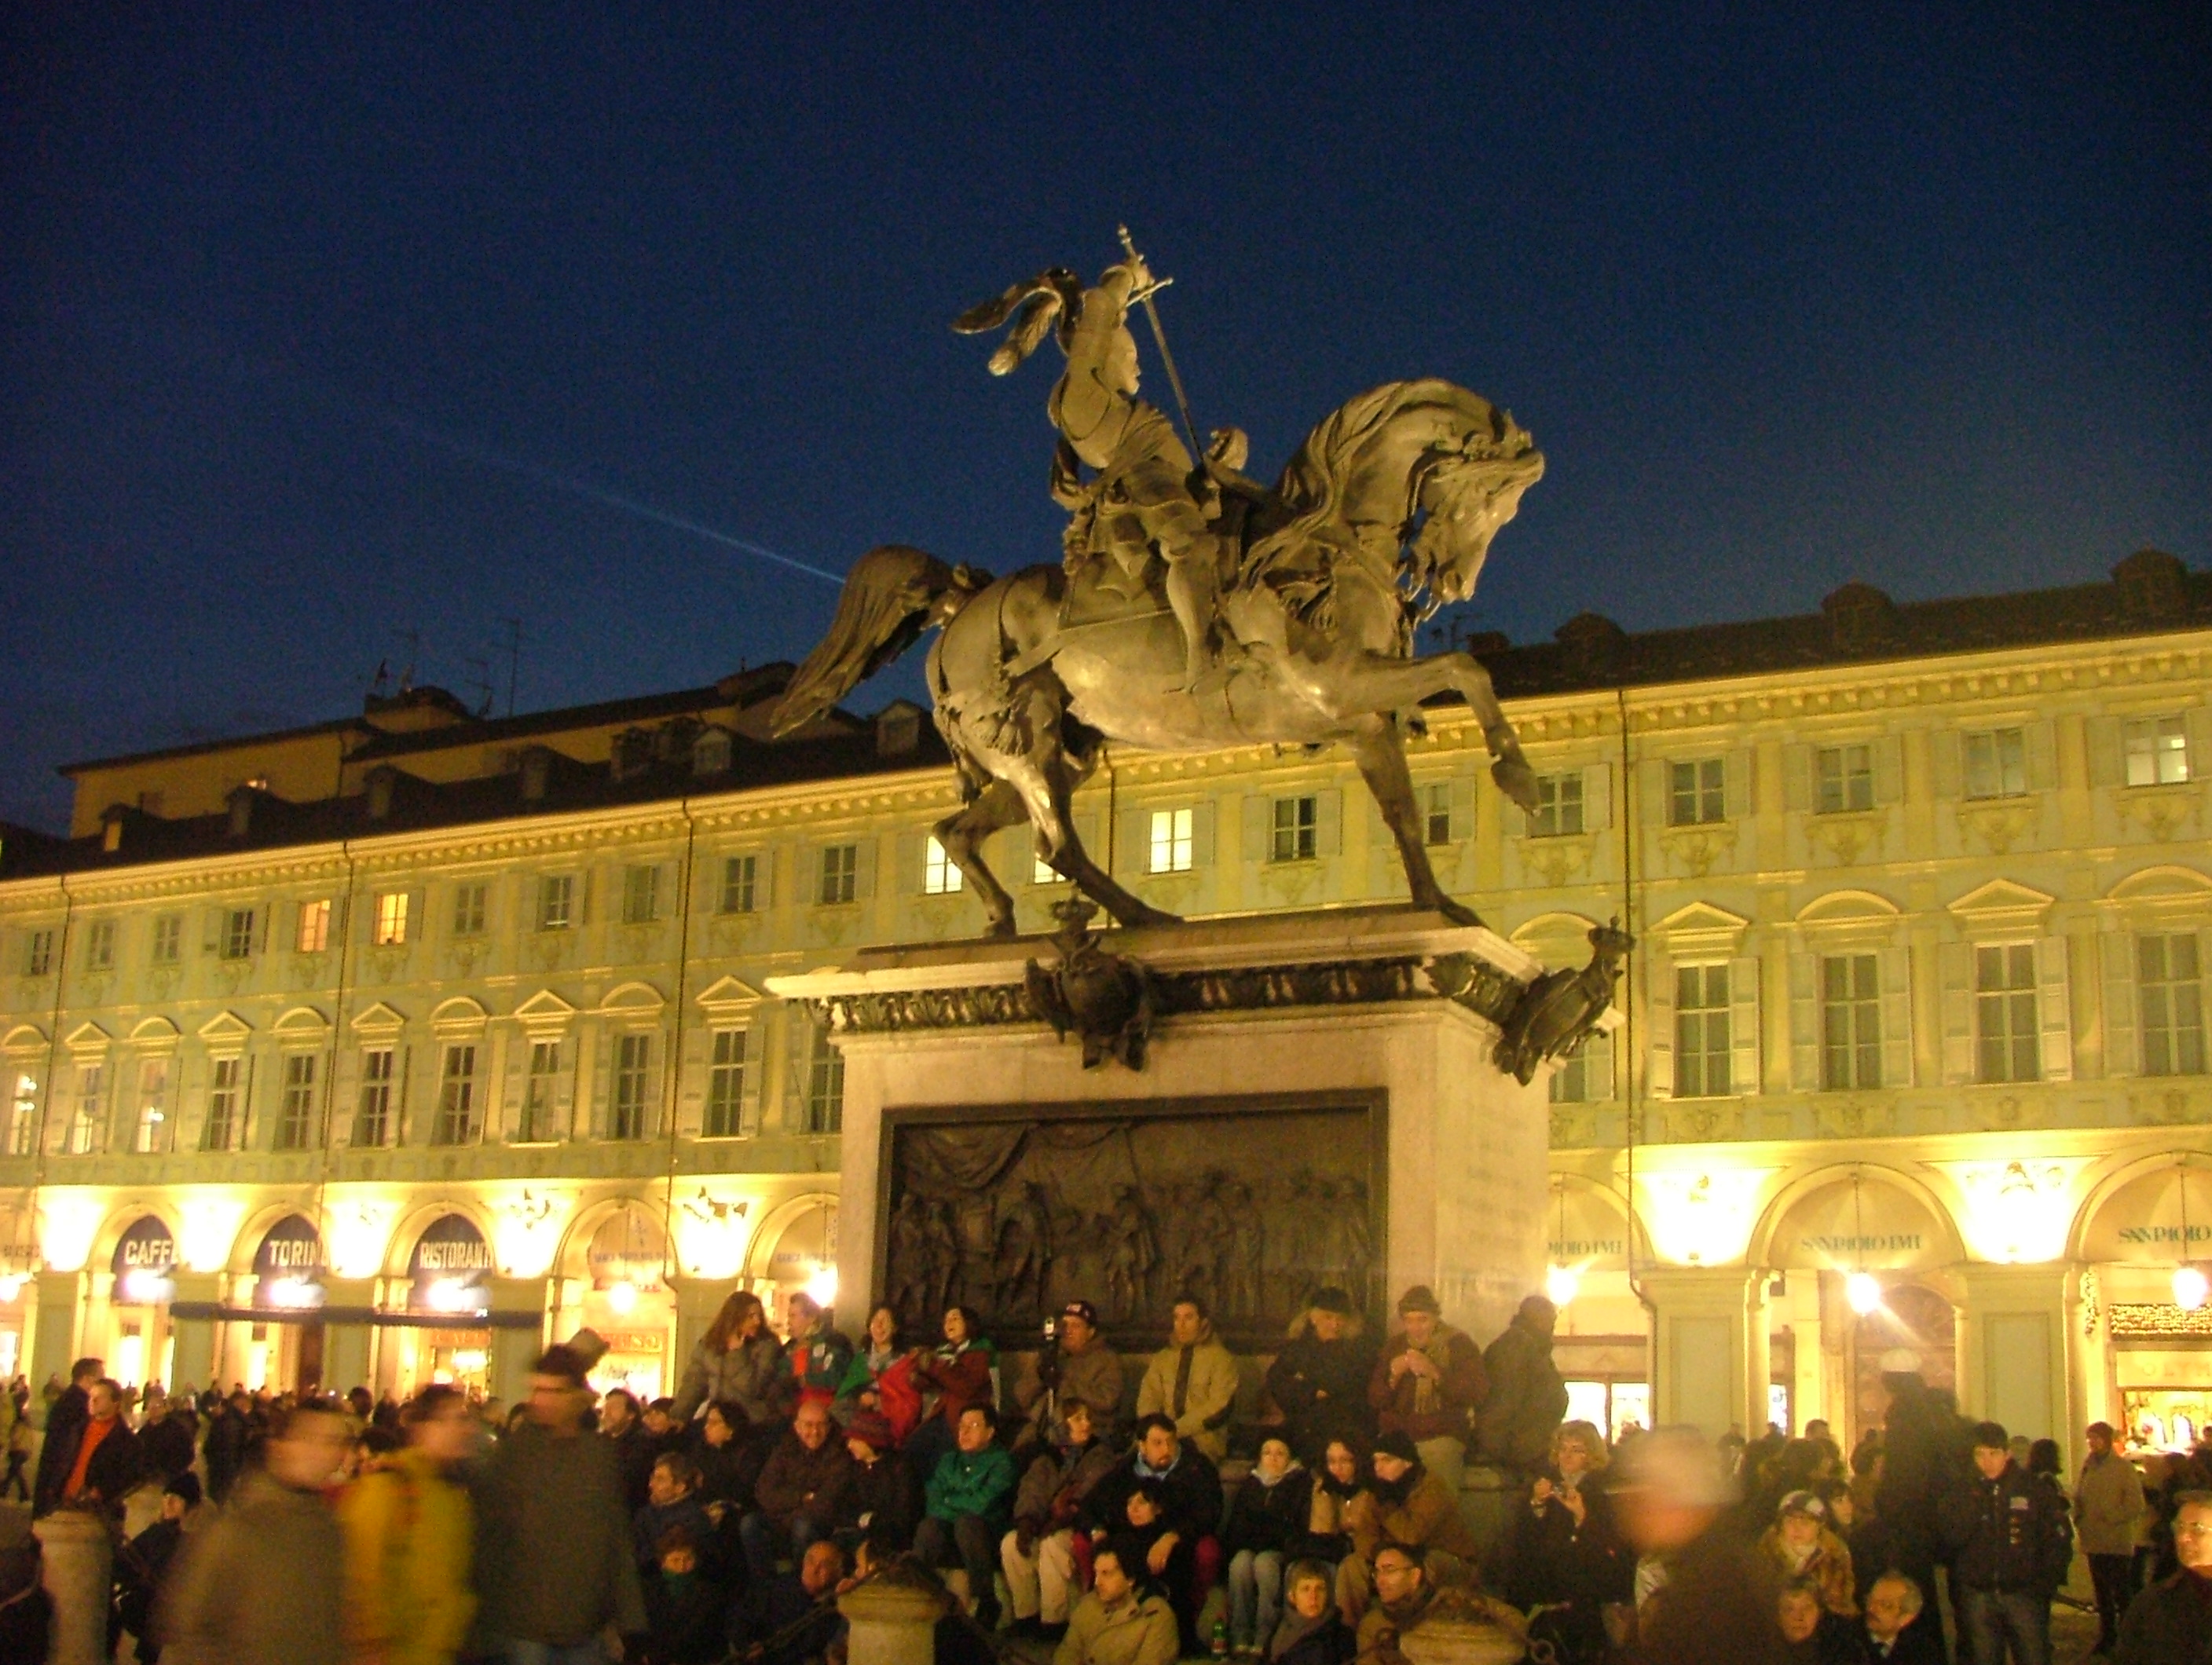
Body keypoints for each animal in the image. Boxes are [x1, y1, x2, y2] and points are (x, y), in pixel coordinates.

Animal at [769, 382, 1548, 942]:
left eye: (1508, 508)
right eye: (1486, 494)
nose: (1452, 580)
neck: (1318, 546)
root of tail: (959, 605)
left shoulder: (1362, 722)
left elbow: (1405, 812)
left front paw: (1440, 905)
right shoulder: (1338, 684)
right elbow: (1467, 670)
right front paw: (1518, 777)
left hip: (1054, 753)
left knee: (956, 832)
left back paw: (1006, 921)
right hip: (1026, 736)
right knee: (1057, 847)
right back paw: (1145, 920)